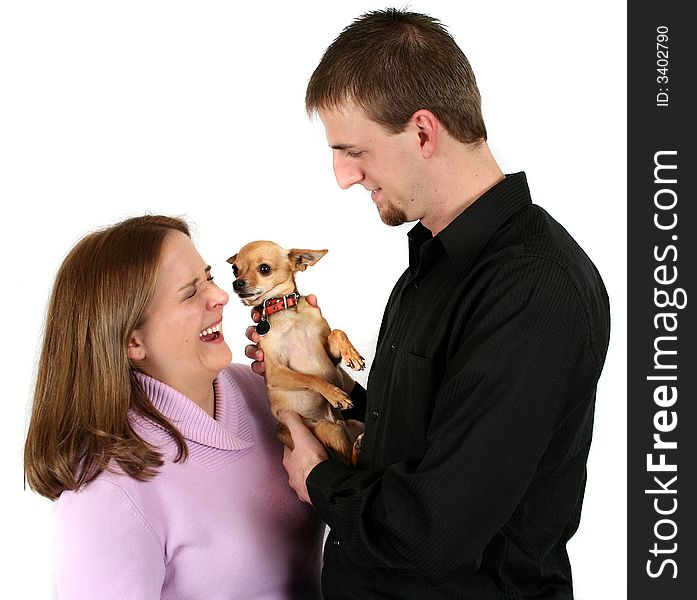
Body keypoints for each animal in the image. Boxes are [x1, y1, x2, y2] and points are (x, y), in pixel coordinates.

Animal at [228, 241, 364, 466]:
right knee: (349, 462)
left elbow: (337, 332)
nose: (236, 283)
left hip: (353, 423)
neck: (286, 312)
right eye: (234, 269)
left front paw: (352, 355)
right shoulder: (275, 372)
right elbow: (311, 377)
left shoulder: (329, 354)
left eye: (264, 268)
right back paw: (356, 448)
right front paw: (335, 394)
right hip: (327, 429)